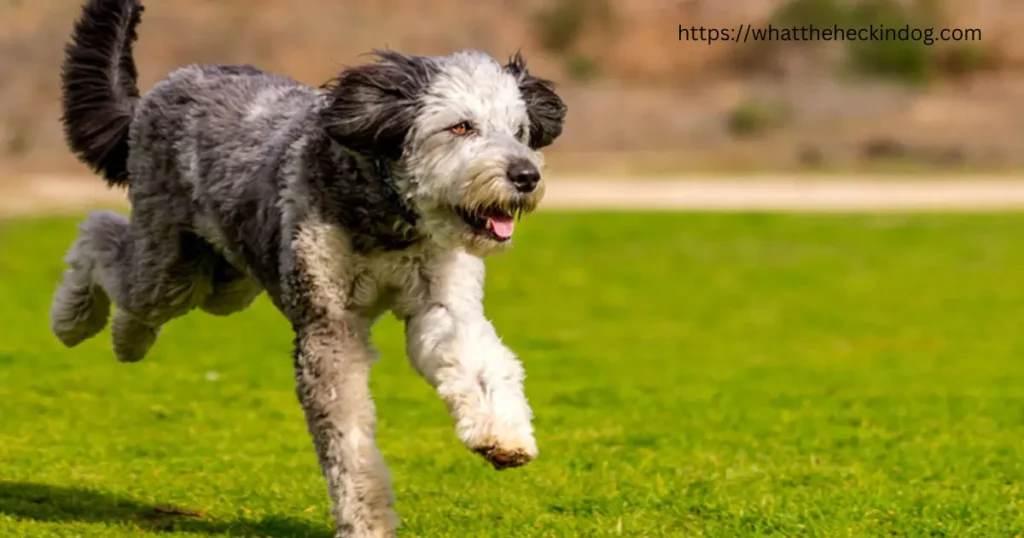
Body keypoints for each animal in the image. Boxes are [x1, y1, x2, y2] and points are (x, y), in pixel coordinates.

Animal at [49, 0, 569, 532]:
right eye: (461, 126)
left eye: (520, 131)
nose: (526, 175)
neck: (386, 212)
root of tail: (156, 95)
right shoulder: (329, 328)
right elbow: (349, 440)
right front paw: (367, 521)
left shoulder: (442, 305)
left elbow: (482, 361)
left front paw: (503, 436)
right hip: (170, 265)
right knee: (100, 237)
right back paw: (78, 321)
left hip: (224, 281)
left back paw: (124, 336)